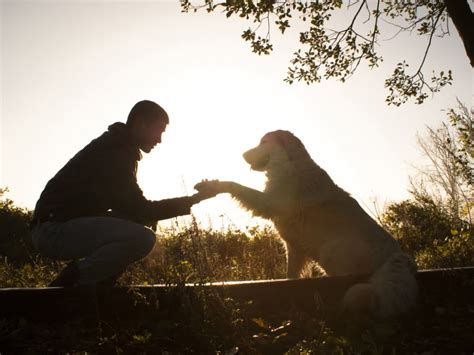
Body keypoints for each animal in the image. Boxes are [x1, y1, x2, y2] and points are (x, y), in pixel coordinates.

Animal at [194, 131, 416, 320]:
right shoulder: (295, 248)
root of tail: (398, 256)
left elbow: (237, 186)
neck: (289, 164)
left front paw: (213, 185)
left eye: (264, 142)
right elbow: (291, 276)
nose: (243, 154)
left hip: (331, 249)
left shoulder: (270, 202)